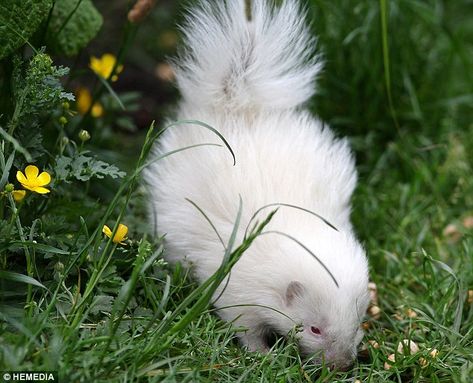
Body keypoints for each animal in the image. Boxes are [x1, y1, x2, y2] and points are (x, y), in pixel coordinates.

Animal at [147, 0, 368, 368]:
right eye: (314, 329)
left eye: (358, 320)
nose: (340, 363)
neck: (295, 228)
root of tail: (238, 107)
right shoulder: (237, 278)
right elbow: (241, 318)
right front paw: (260, 353)